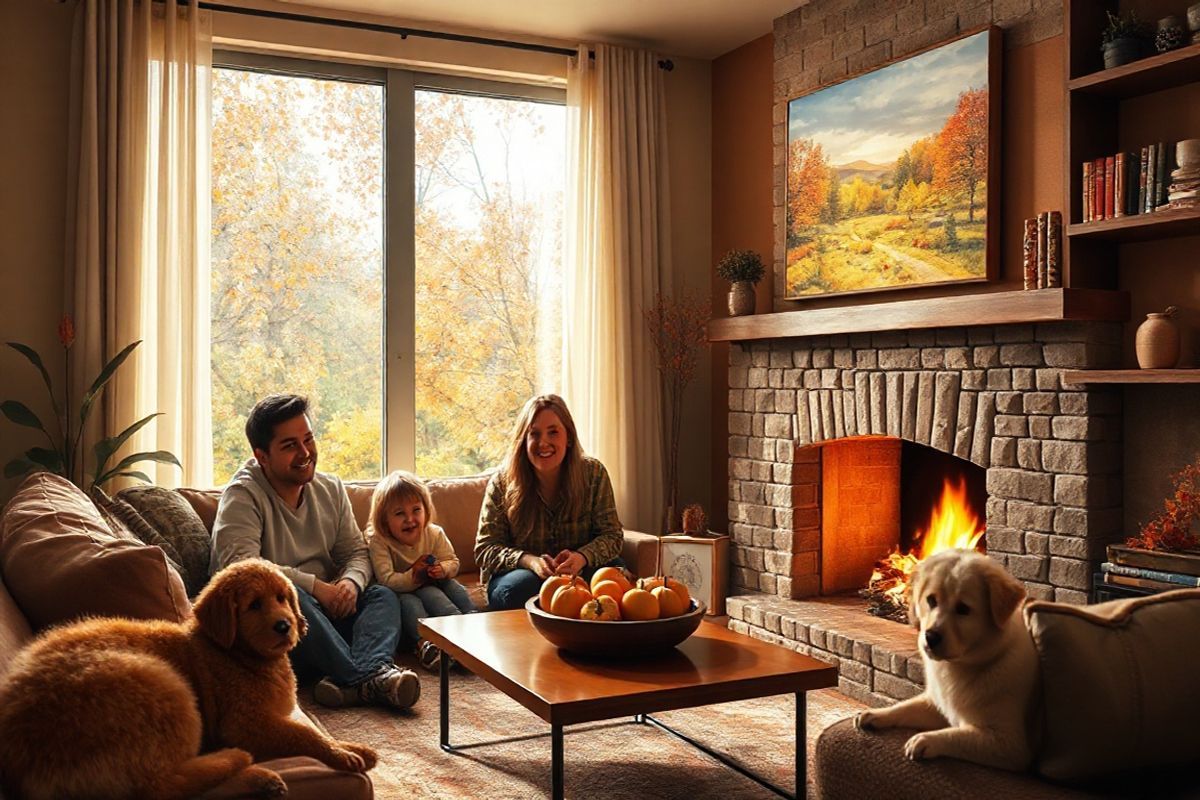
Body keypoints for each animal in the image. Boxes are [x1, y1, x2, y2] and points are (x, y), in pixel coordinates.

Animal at [0, 561, 376, 796]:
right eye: (254, 605)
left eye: (283, 598)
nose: (285, 626)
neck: (235, 656)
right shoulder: (244, 723)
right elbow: (303, 733)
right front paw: (341, 754)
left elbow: (306, 729)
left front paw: (352, 746)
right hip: (161, 685)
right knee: (160, 786)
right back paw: (246, 767)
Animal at [854, 551, 1041, 767]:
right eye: (931, 600)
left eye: (963, 609)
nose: (930, 637)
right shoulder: (934, 704)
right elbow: (903, 708)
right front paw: (876, 714)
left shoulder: (1010, 744)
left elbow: (957, 735)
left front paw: (926, 739)